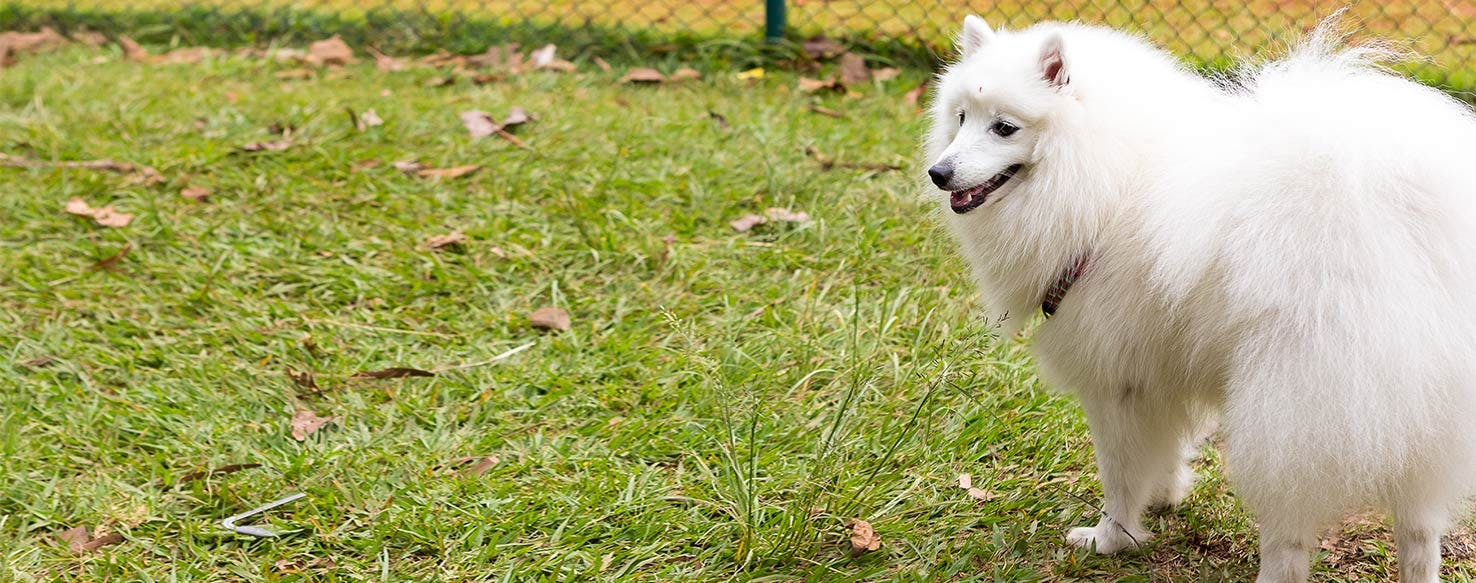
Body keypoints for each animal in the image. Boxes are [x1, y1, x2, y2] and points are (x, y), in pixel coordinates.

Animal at [926, 13, 1476, 583]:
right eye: (961, 118)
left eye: (1005, 127)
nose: (938, 173)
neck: (1104, 174)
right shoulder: (1154, 374)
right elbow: (1162, 450)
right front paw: (1164, 497)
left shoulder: (1114, 385)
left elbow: (1118, 474)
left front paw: (1111, 538)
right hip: (1426, 421)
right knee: (1420, 534)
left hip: (1286, 413)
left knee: (1289, 541)